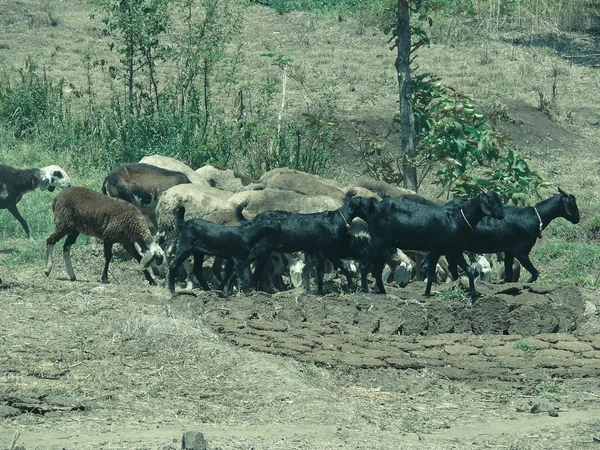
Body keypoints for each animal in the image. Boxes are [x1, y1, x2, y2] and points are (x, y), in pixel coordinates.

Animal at [236, 194, 370, 296]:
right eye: (368, 204)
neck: (335, 220)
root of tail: (254, 220)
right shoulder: (329, 251)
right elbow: (343, 266)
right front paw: (351, 286)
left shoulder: (319, 252)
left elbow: (320, 273)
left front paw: (320, 291)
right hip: (259, 249)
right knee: (244, 266)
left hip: (265, 252)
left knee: (257, 271)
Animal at [354, 191, 504, 300]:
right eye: (491, 200)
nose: (501, 215)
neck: (456, 219)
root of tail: (374, 209)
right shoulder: (436, 249)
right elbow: (431, 272)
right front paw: (427, 294)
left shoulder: (453, 251)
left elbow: (469, 271)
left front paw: (473, 295)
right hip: (378, 242)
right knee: (364, 263)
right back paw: (365, 289)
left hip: (384, 247)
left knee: (377, 269)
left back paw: (382, 291)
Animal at [448, 188, 580, 284]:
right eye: (573, 204)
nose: (577, 218)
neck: (534, 217)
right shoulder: (520, 252)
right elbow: (535, 274)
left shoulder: (509, 252)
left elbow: (508, 275)